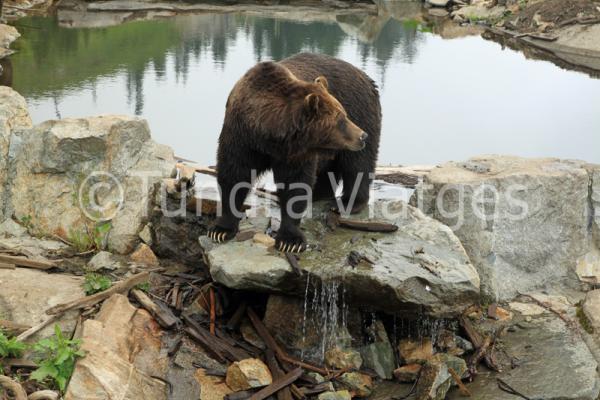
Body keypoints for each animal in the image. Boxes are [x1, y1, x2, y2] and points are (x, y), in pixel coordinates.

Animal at [209, 52, 382, 253]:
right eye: (340, 119)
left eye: (344, 114)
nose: (362, 135)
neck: (266, 134)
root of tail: (367, 77)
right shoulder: (240, 137)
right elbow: (233, 174)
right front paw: (221, 229)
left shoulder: (295, 153)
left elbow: (295, 184)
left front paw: (290, 240)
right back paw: (319, 194)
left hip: (362, 110)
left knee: (357, 164)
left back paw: (347, 203)